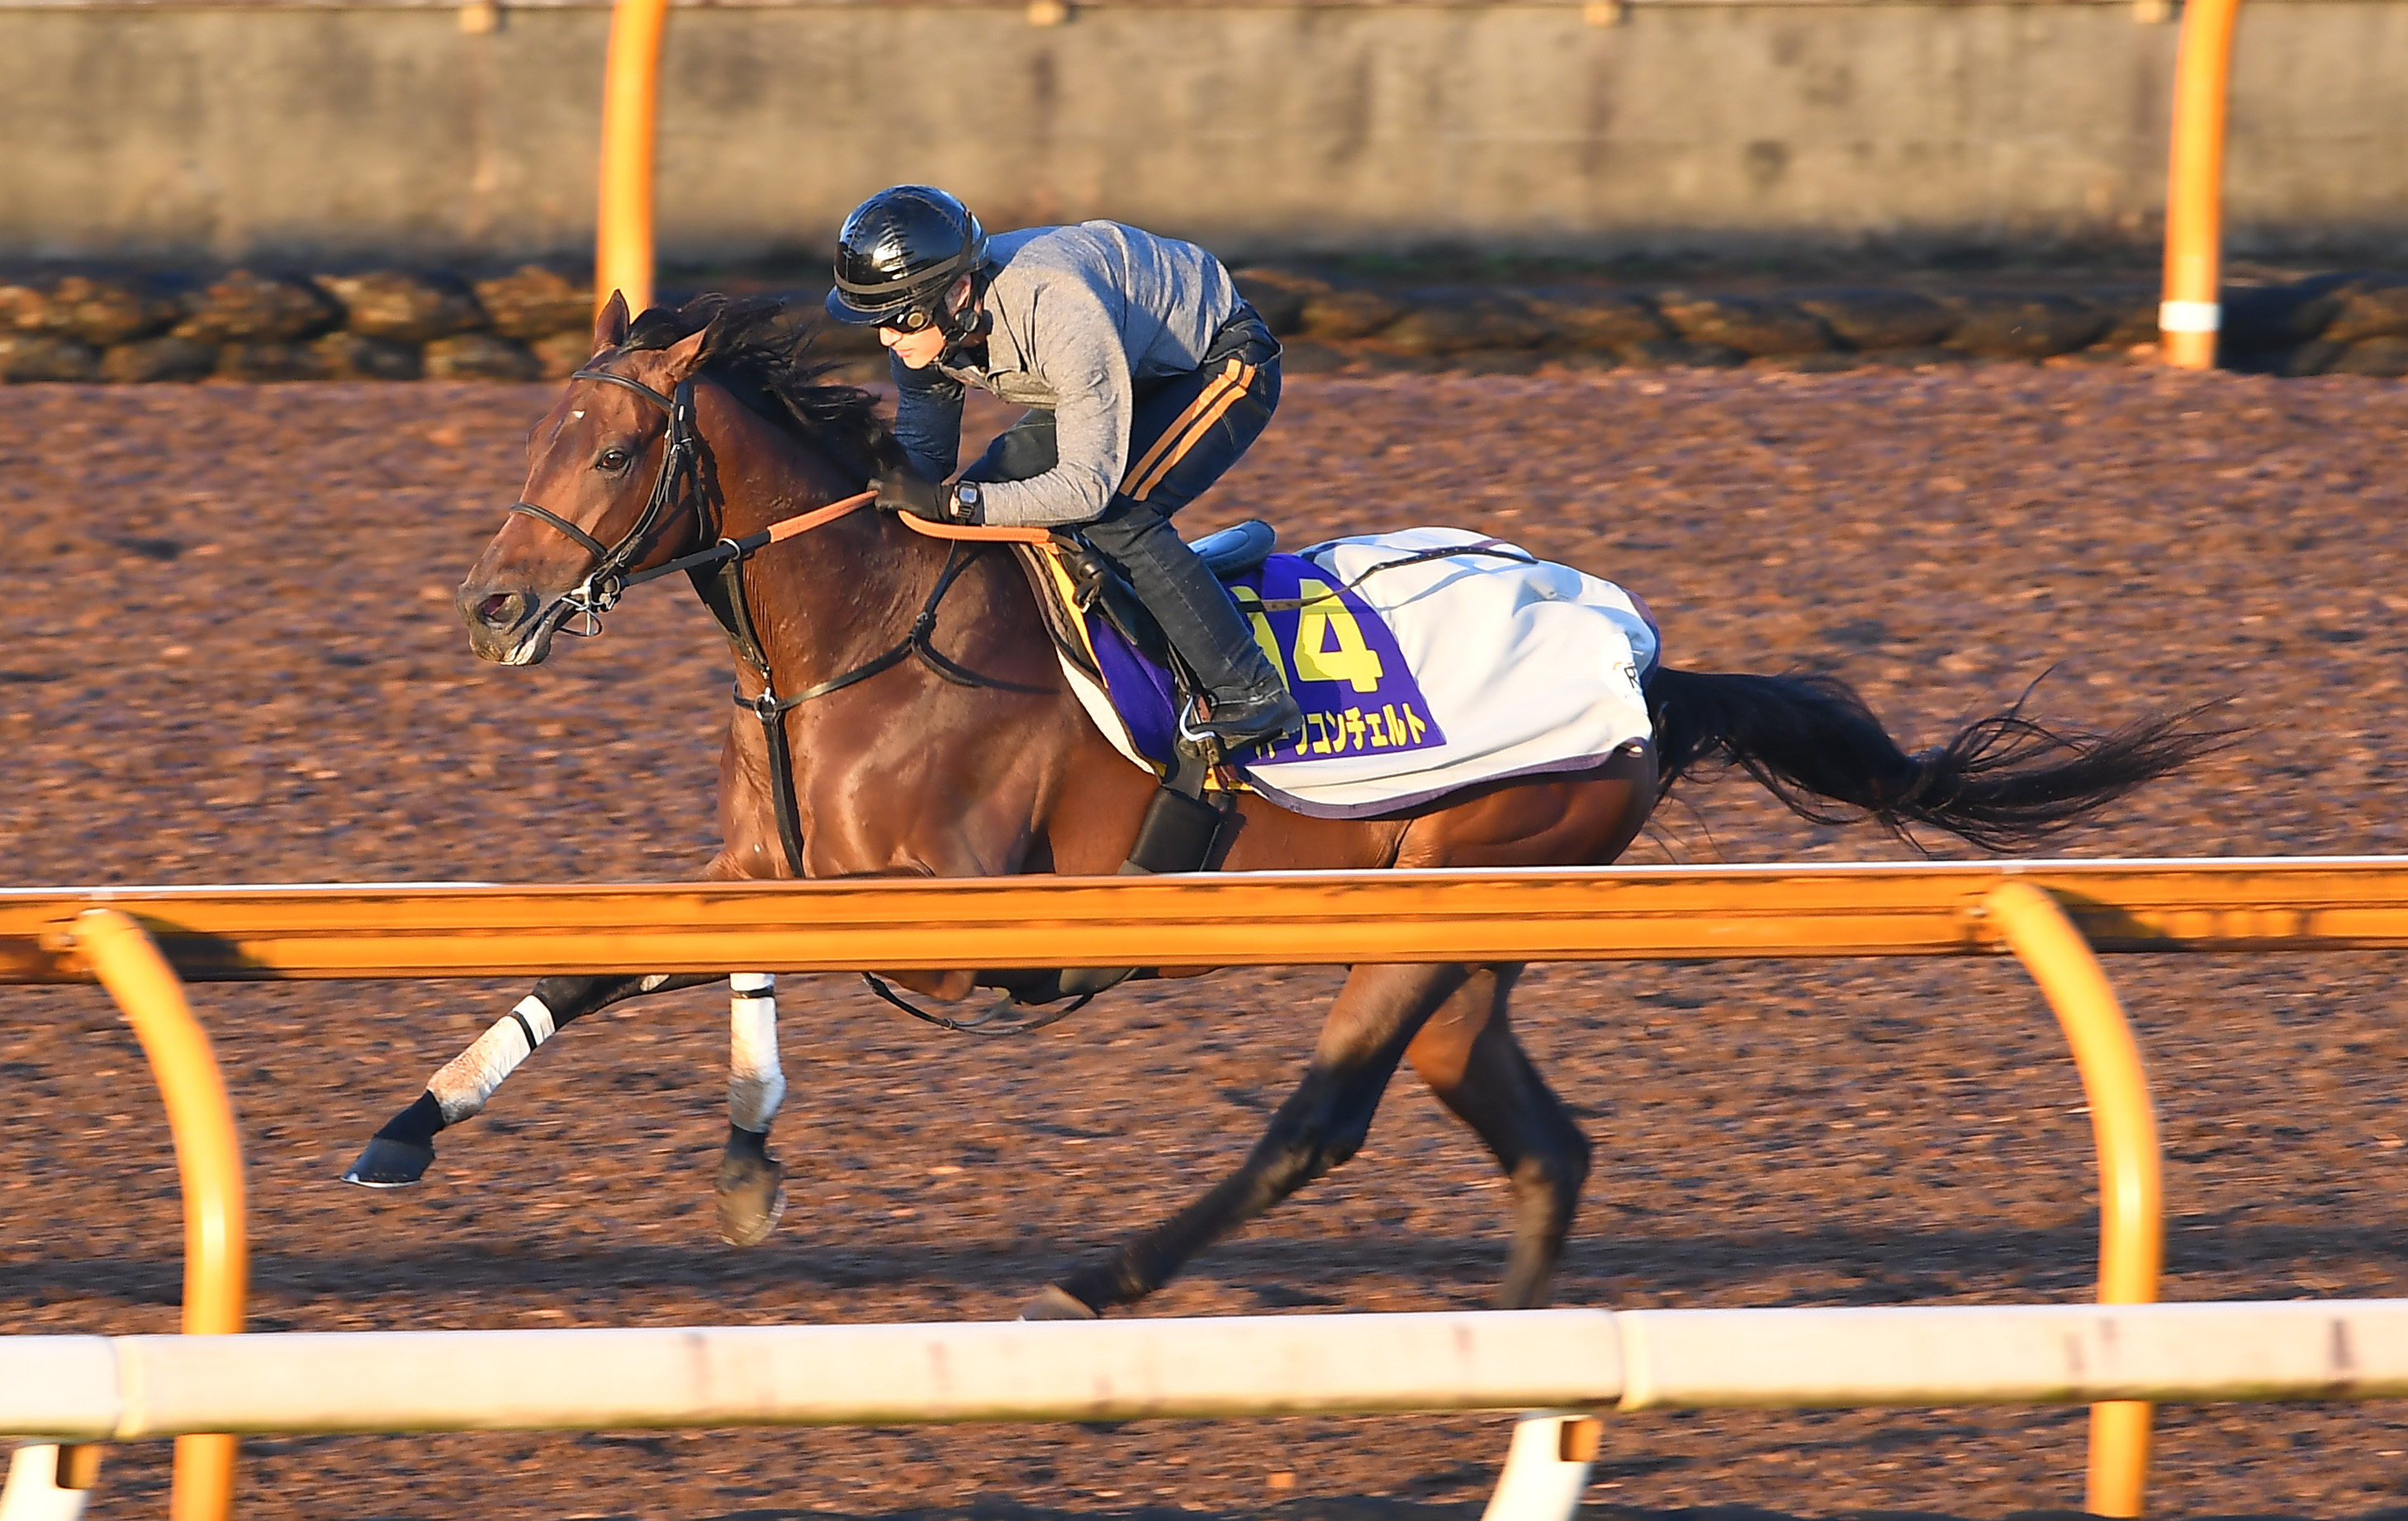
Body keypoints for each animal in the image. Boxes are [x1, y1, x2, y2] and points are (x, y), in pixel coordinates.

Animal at [344, 293, 2215, 1319]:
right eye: (537, 435)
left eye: (608, 451)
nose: (490, 611)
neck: (865, 633)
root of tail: (1643, 663)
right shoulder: (760, 869)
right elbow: (604, 961)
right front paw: (412, 1127)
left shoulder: (956, 939)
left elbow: (741, 968)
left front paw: (745, 1158)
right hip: (1466, 943)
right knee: (1538, 1143)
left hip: (1453, 890)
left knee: (1320, 1121)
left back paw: (1103, 1279)